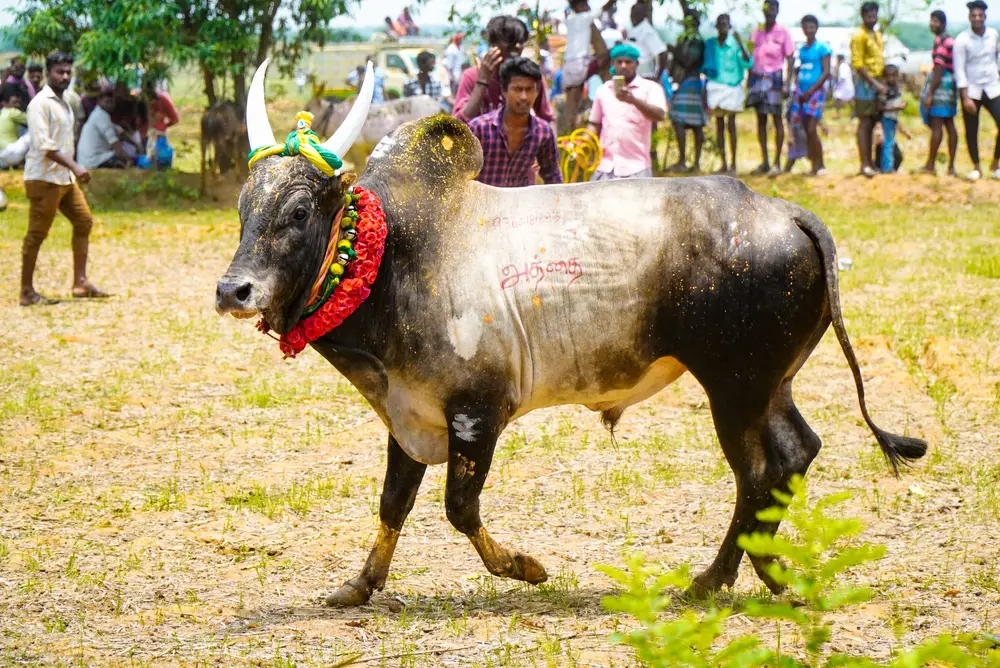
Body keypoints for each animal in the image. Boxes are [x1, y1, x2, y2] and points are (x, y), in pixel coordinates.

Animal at [215, 61, 924, 604]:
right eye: (245, 208)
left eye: (298, 211)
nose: (232, 291)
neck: (391, 257)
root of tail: (784, 211)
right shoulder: (408, 412)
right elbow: (394, 504)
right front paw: (360, 586)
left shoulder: (476, 413)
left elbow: (458, 508)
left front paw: (525, 567)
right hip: (769, 383)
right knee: (795, 454)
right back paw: (767, 573)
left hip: (735, 386)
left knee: (760, 471)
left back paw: (711, 580)